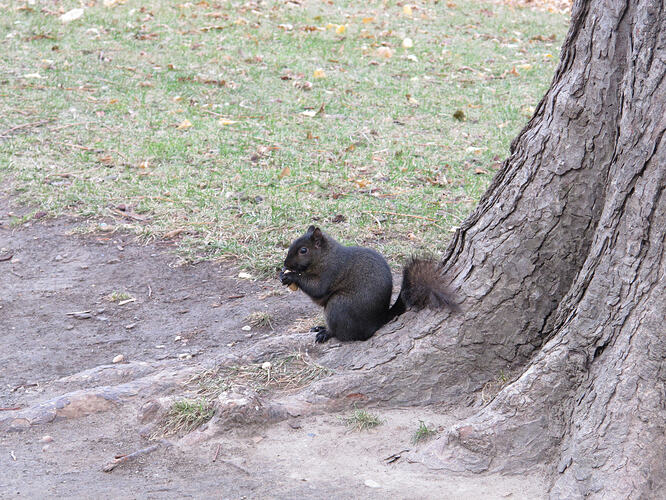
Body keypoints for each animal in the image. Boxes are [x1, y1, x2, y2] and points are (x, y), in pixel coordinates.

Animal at [279, 226, 458, 343]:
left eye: (303, 250)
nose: (286, 264)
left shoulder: (331, 271)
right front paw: (283, 274)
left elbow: (317, 289)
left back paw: (326, 332)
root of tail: (378, 321)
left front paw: (292, 276)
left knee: (343, 333)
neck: (325, 256)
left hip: (338, 306)